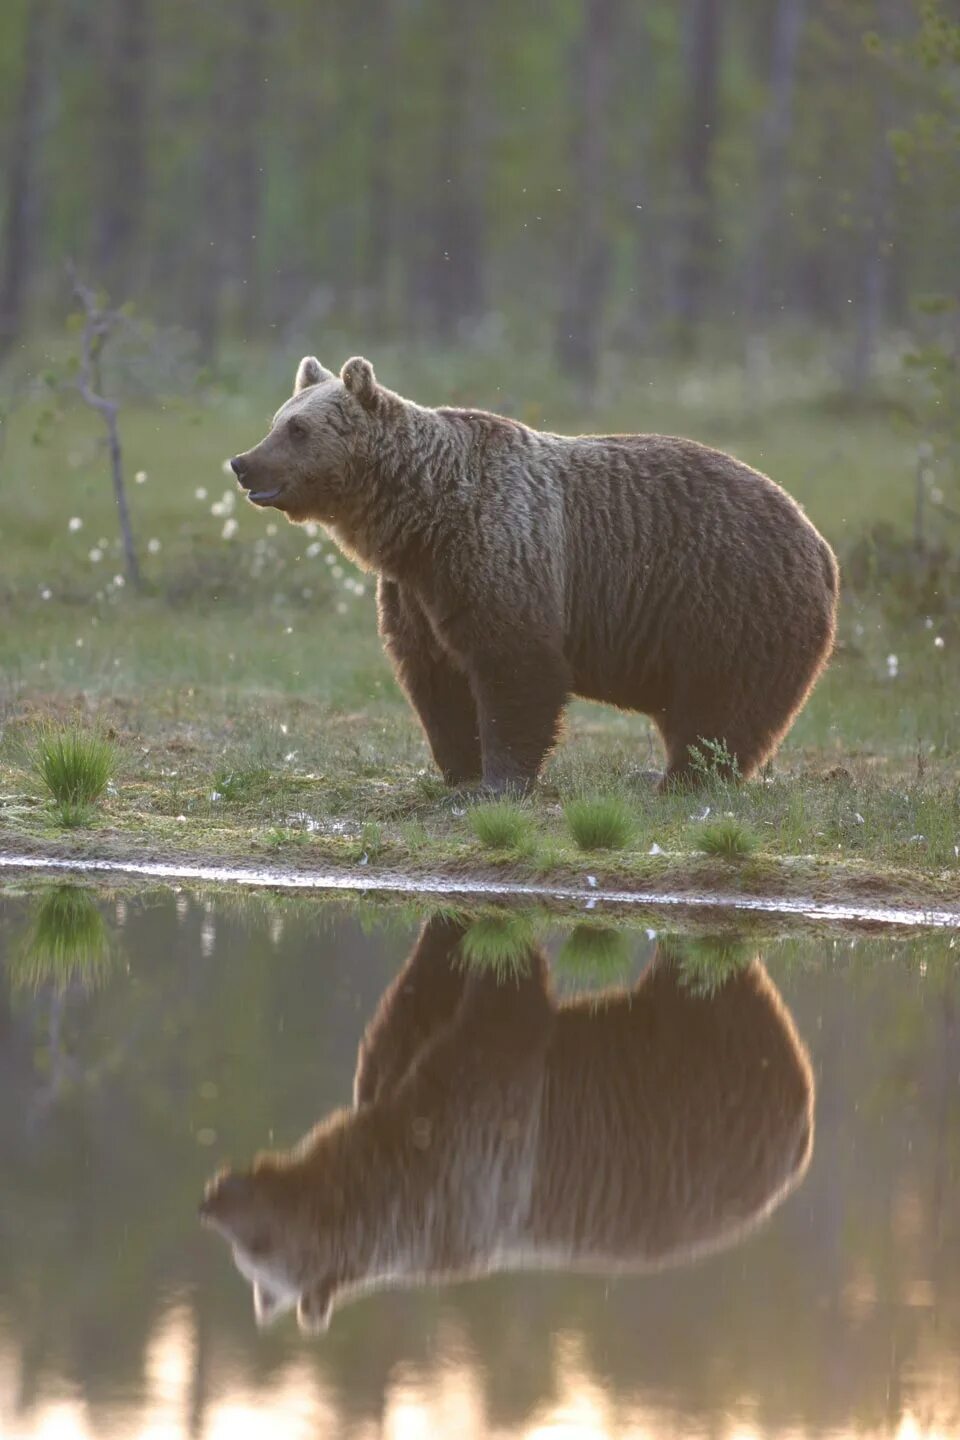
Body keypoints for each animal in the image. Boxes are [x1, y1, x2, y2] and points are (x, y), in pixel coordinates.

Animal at [198, 915, 817, 1330]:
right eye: (242, 1261)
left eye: (256, 1244)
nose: (212, 1201)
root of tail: (804, 1135)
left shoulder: (478, 1140)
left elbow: (502, 1000)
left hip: (712, 1083)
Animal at [228, 357, 834, 789]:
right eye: (277, 420)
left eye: (299, 429)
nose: (242, 463)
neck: (421, 519)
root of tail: (817, 538)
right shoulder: (418, 590)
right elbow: (434, 677)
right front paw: (458, 771)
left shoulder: (501, 552)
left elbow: (515, 667)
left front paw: (500, 780)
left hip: (728, 599)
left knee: (721, 707)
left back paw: (682, 778)